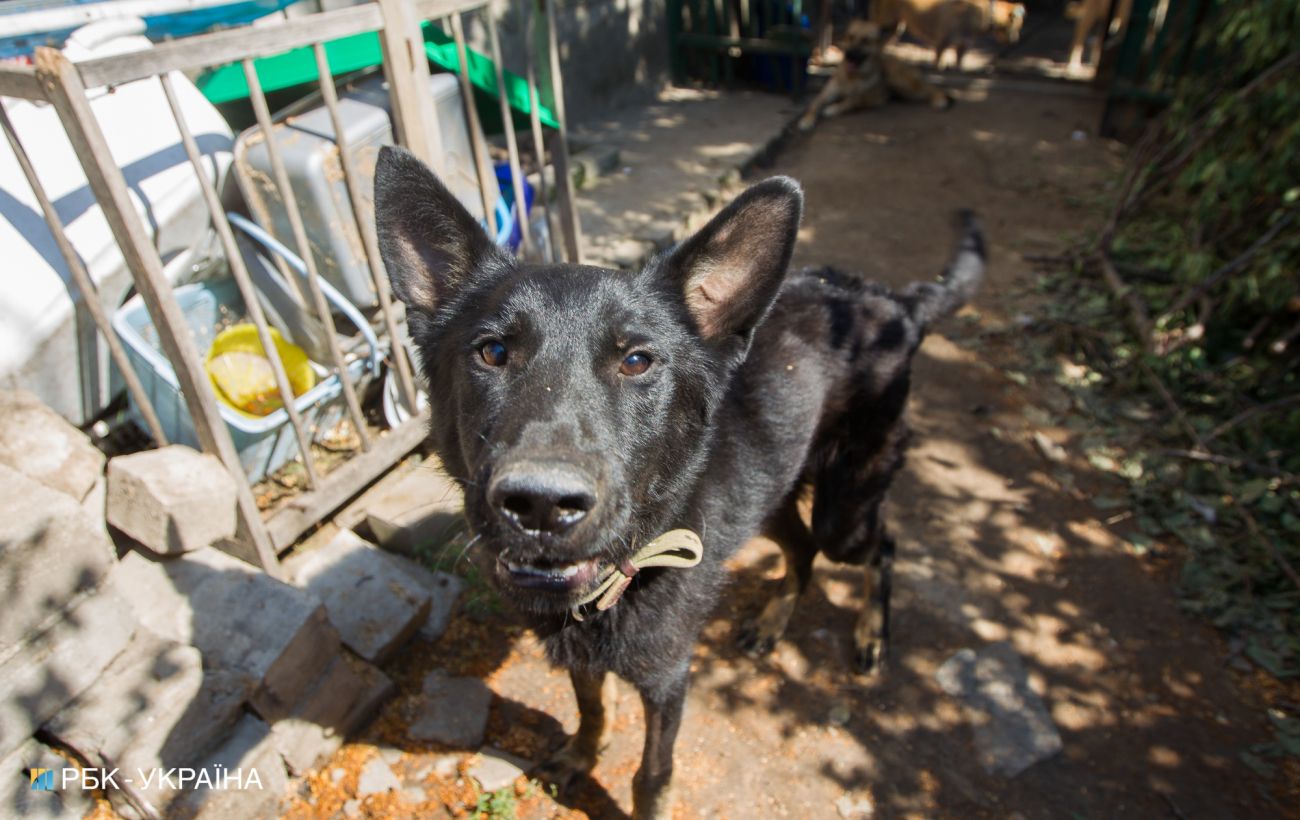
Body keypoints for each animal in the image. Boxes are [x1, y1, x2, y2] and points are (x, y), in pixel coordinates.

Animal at [377, 147, 982, 820]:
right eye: (492, 352)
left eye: (637, 361)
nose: (539, 505)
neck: (627, 568)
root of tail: (896, 303)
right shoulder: (585, 650)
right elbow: (590, 706)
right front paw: (582, 754)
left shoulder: (668, 678)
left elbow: (652, 774)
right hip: (769, 495)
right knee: (802, 549)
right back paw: (772, 621)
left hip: (846, 505)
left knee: (878, 545)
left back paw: (872, 632)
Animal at [795, 19, 951, 129]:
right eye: (850, 37)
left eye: (865, 41)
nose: (848, 55)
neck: (852, 76)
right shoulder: (826, 94)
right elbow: (814, 105)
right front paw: (806, 120)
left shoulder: (866, 98)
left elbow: (850, 101)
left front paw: (833, 108)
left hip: (901, 81)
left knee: (931, 89)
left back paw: (940, 100)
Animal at [873, 0, 1024, 68]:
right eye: (1017, 27)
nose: (1016, 42)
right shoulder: (942, 44)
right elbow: (939, 64)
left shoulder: (962, 46)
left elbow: (958, 65)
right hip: (886, 25)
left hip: (895, 28)